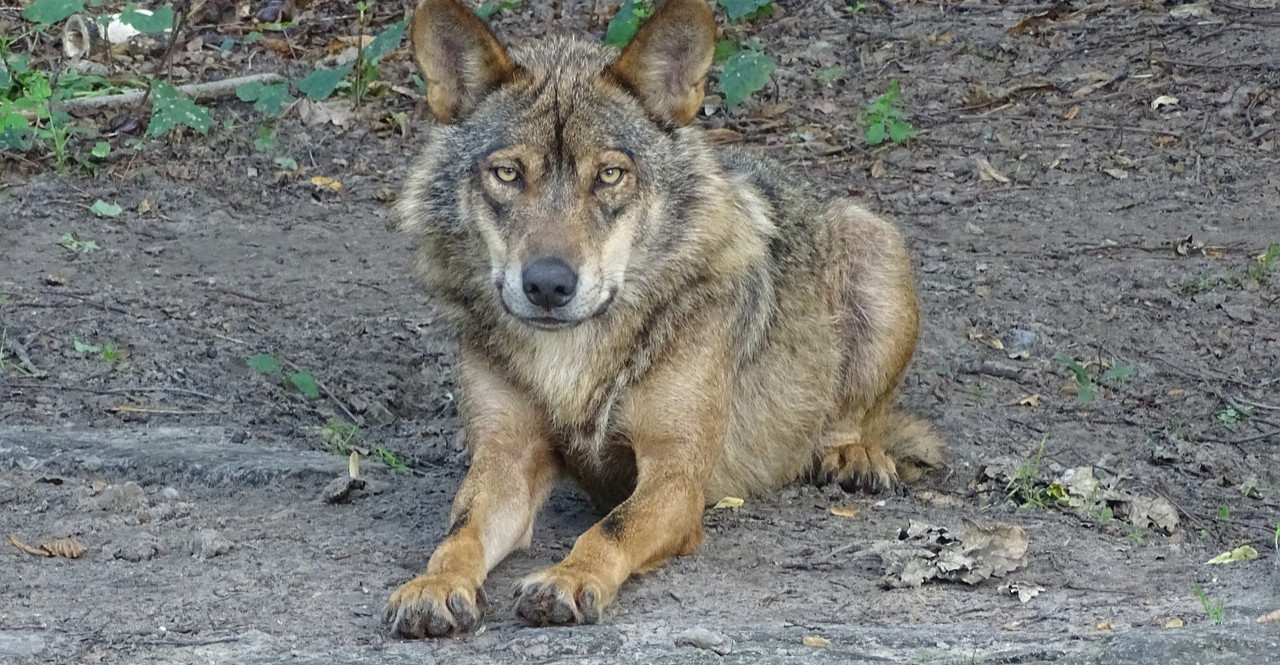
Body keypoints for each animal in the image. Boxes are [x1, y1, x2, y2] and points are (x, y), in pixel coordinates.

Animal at [378, 0, 942, 636]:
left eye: (609, 175)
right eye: (508, 173)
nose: (547, 284)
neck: (572, 359)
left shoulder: (676, 474)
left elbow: (610, 529)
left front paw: (568, 578)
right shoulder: (505, 457)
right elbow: (460, 532)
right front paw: (434, 585)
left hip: (876, 245)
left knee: (853, 418)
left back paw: (852, 455)